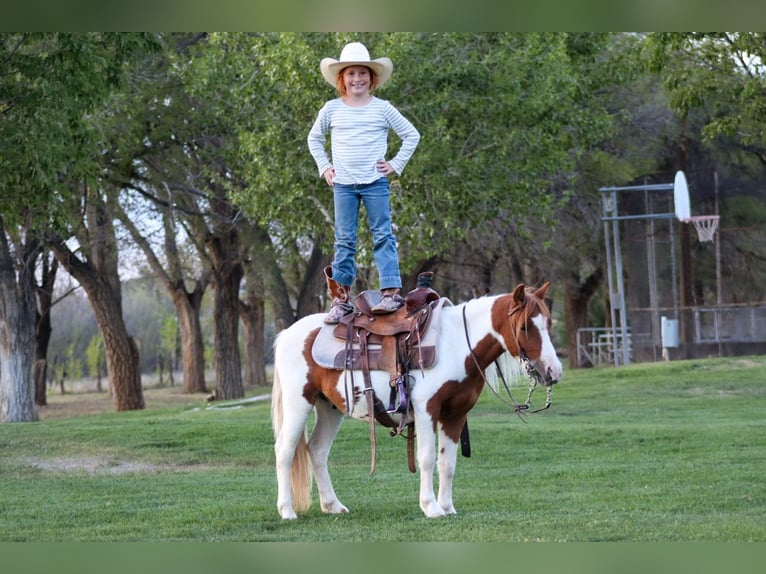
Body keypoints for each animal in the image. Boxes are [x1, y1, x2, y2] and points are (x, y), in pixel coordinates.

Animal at [271, 282, 562, 519]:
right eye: (524, 326)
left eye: (549, 324)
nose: (553, 371)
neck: (454, 344)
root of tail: (287, 334)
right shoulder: (426, 410)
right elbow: (427, 457)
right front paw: (431, 507)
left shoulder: (456, 414)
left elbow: (447, 462)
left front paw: (447, 507)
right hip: (299, 403)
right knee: (284, 450)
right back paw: (286, 511)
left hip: (330, 407)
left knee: (317, 450)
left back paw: (332, 505)